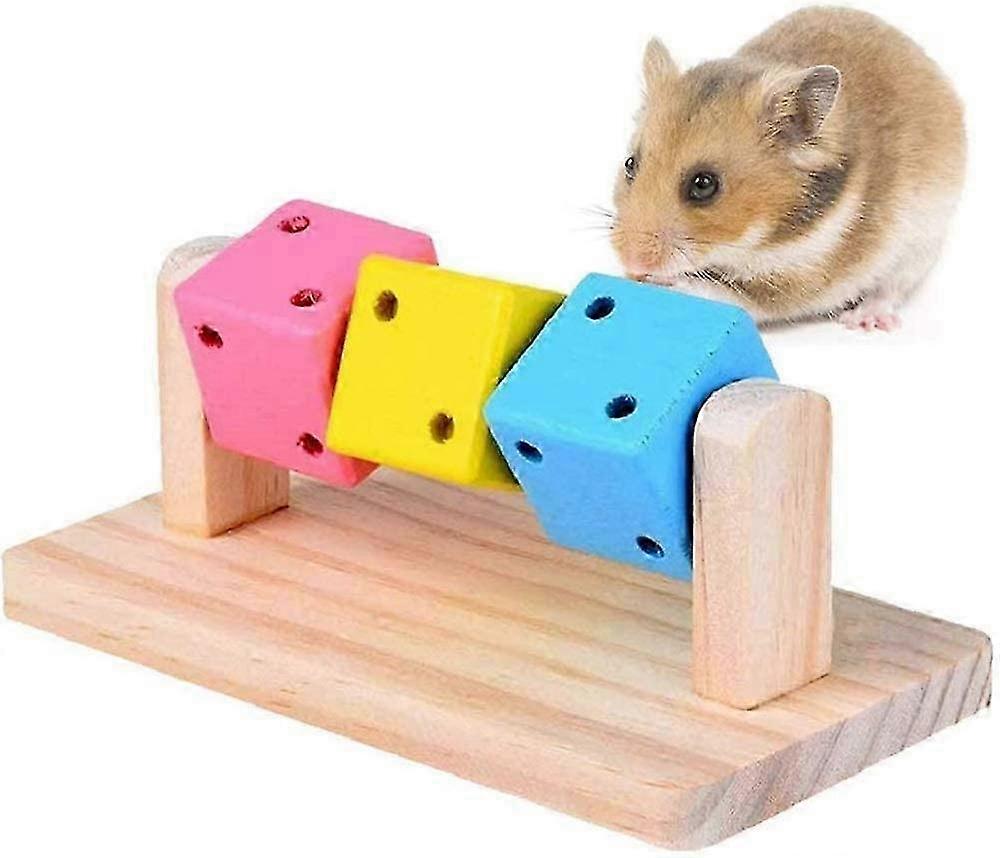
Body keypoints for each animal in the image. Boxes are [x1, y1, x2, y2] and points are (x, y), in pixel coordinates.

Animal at [610, 7, 965, 331]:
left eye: (704, 185)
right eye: (630, 164)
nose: (633, 262)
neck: (764, 237)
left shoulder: (793, 281)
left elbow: (727, 293)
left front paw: (660, 281)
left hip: (920, 245)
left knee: (891, 289)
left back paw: (863, 320)